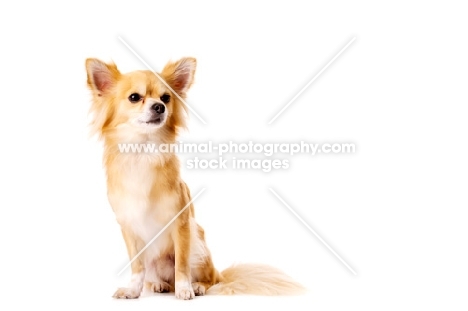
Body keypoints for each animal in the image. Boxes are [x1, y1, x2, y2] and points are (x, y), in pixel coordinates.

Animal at [85, 56, 304, 300]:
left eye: (166, 98)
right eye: (134, 97)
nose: (159, 106)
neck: (143, 152)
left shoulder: (181, 224)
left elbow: (181, 263)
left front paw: (184, 289)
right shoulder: (129, 228)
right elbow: (137, 267)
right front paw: (133, 290)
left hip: (198, 244)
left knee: (207, 278)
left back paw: (196, 286)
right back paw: (158, 285)